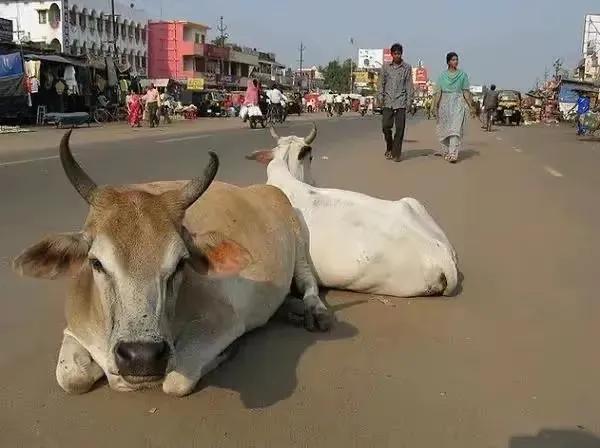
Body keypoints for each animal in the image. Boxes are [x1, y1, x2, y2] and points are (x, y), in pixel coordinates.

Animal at [12, 131, 332, 398]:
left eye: (180, 263)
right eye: (96, 262)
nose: (141, 356)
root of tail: (268, 190)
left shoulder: (222, 321)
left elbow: (176, 381)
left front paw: (225, 353)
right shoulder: (74, 330)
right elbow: (72, 378)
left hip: (300, 241)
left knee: (308, 284)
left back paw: (311, 310)